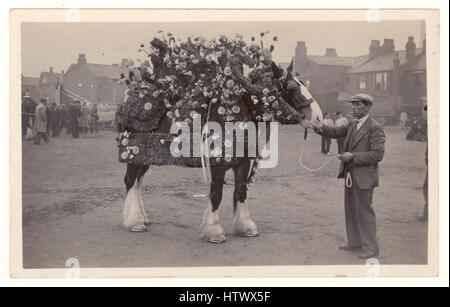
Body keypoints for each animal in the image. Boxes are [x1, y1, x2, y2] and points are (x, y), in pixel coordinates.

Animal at [114, 32, 322, 244]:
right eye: (291, 87)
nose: (319, 118)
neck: (237, 111)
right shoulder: (218, 163)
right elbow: (217, 194)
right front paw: (214, 231)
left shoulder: (242, 162)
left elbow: (241, 191)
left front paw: (245, 226)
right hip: (133, 152)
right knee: (130, 181)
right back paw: (134, 222)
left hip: (146, 155)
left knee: (138, 182)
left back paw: (142, 217)